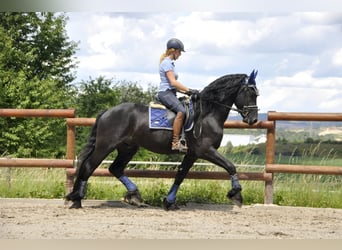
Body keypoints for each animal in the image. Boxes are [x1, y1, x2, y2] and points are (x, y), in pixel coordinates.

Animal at [66, 71, 260, 211]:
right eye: (250, 92)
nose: (253, 120)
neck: (207, 114)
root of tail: (107, 111)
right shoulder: (205, 150)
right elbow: (230, 166)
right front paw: (236, 195)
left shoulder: (192, 153)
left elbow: (180, 175)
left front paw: (169, 202)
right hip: (105, 146)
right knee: (89, 167)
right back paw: (76, 200)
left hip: (128, 148)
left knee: (115, 168)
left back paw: (135, 196)